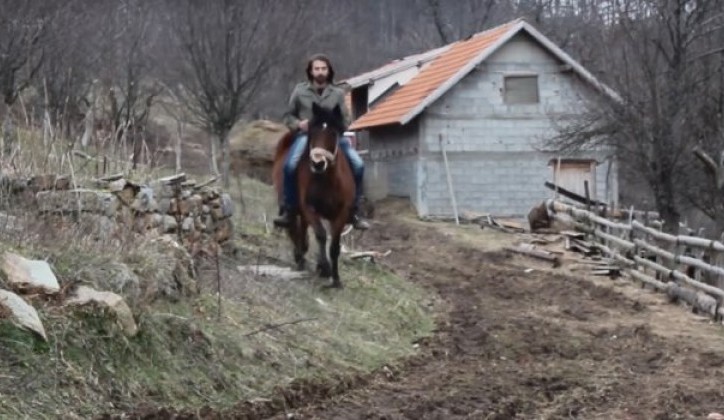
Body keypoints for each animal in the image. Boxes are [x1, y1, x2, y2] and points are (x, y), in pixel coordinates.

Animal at [270, 103, 354, 288]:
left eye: (333, 133)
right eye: (313, 132)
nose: (318, 163)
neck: (326, 180)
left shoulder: (341, 213)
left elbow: (334, 246)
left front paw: (336, 279)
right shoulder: (308, 208)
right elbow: (321, 235)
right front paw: (324, 268)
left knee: (301, 230)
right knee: (293, 228)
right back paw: (300, 257)